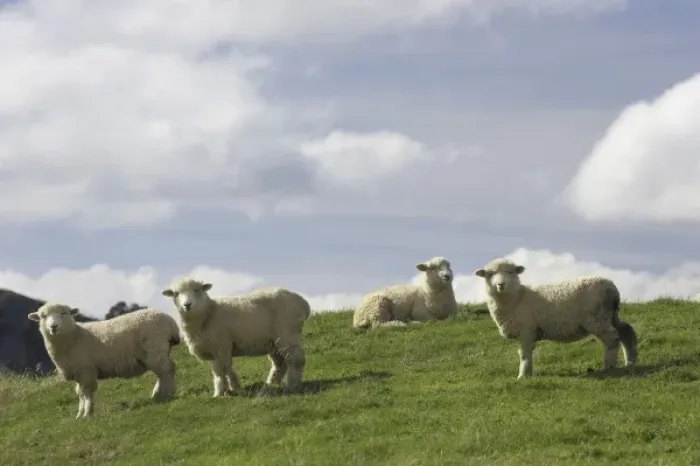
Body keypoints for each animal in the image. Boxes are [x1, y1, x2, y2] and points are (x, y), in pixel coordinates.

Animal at [27, 303, 180, 418]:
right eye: (43, 316)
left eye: (64, 313)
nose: (53, 326)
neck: (75, 337)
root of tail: (171, 322)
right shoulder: (78, 372)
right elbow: (80, 393)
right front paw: (79, 414)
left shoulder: (86, 370)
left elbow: (86, 392)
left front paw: (87, 413)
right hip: (156, 353)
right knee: (163, 373)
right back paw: (157, 395)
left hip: (155, 349)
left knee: (168, 370)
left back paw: (166, 394)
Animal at [161, 277, 311, 396]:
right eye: (176, 293)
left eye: (197, 290)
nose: (187, 305)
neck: (208, 313)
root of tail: (303, 302)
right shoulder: (213, 349)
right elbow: (222, 370)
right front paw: (230, 388)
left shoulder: (221, 345)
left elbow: (222, 370)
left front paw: (222, 392)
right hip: (274, 341)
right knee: (279, 363)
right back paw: (271, 383)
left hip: (287, 333)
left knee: (296, 359)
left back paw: (292, 386)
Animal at [474, 258, 638, 379]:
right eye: (490, 274)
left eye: (510, 272)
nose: (501, 284)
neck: (516, 298)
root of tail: (613, 288)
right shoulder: (530, 332)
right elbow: (528, 353)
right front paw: (529, 374)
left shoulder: (527, 330)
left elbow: (524, 354)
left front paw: (522, 376)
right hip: (610, 315)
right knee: (626, 330)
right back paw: (630, 361)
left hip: (597, 318)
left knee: (612, 339)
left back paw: (609, 367)